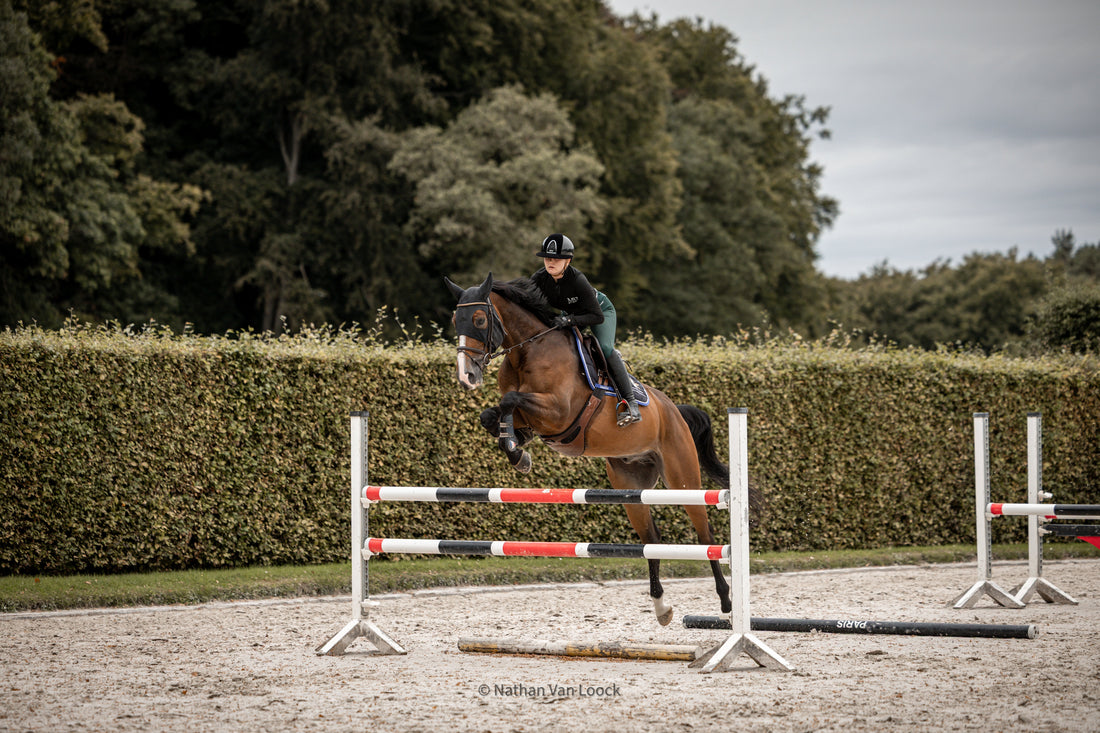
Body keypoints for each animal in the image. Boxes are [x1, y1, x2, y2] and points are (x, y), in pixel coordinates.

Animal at [445, 272, 752, 625]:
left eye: (479, 319)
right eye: (455, 320)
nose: (466, 375)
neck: (529, 350)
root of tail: (673, 409)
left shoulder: (559, 411)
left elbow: (511, 400)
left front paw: (517, 452)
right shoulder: (533, 413)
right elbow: (493, 414)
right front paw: (516, 448)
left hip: (684, 479)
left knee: (706, 536)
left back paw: (726, 602)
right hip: (630, 485)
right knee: (651, 540)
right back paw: (661, 606)